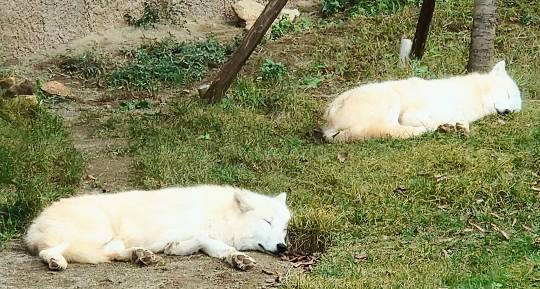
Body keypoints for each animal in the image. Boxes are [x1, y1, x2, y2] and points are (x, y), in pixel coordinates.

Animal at [25, 184, 292, 270]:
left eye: (284, 228)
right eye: (267, 221)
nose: (283, 247)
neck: (223, 215)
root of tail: (33, 226)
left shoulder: (180, 242)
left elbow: (205, 246)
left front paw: (237, 258)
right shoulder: (195, 230)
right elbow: (208, 240)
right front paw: (237, 257)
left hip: (110, 240)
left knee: (112, 254)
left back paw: (142, 256)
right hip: (95, 232)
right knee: (49, 251)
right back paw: (56, 262)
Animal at [322, 60, 520, 142]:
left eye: (516, 108)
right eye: (508, 94)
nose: (509, 112)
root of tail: (328, 121)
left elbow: (461, 123)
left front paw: (456, 127)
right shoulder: (411, 114)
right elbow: (431, 122)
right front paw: (442, 127)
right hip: (391, 100)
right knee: (388, 131)